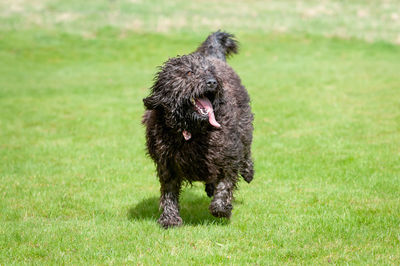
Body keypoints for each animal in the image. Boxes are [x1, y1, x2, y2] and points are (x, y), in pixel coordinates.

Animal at [142, 30, 252, 228]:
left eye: (210, 72)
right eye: (188, 72)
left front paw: (221, 208)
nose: (212, 82)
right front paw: (169, 219)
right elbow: (169, 193)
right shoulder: (167, 165)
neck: (191, 130)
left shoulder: (228, 156)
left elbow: (226, 183)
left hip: (245, 124)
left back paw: (248, 171)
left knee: (246, 149)